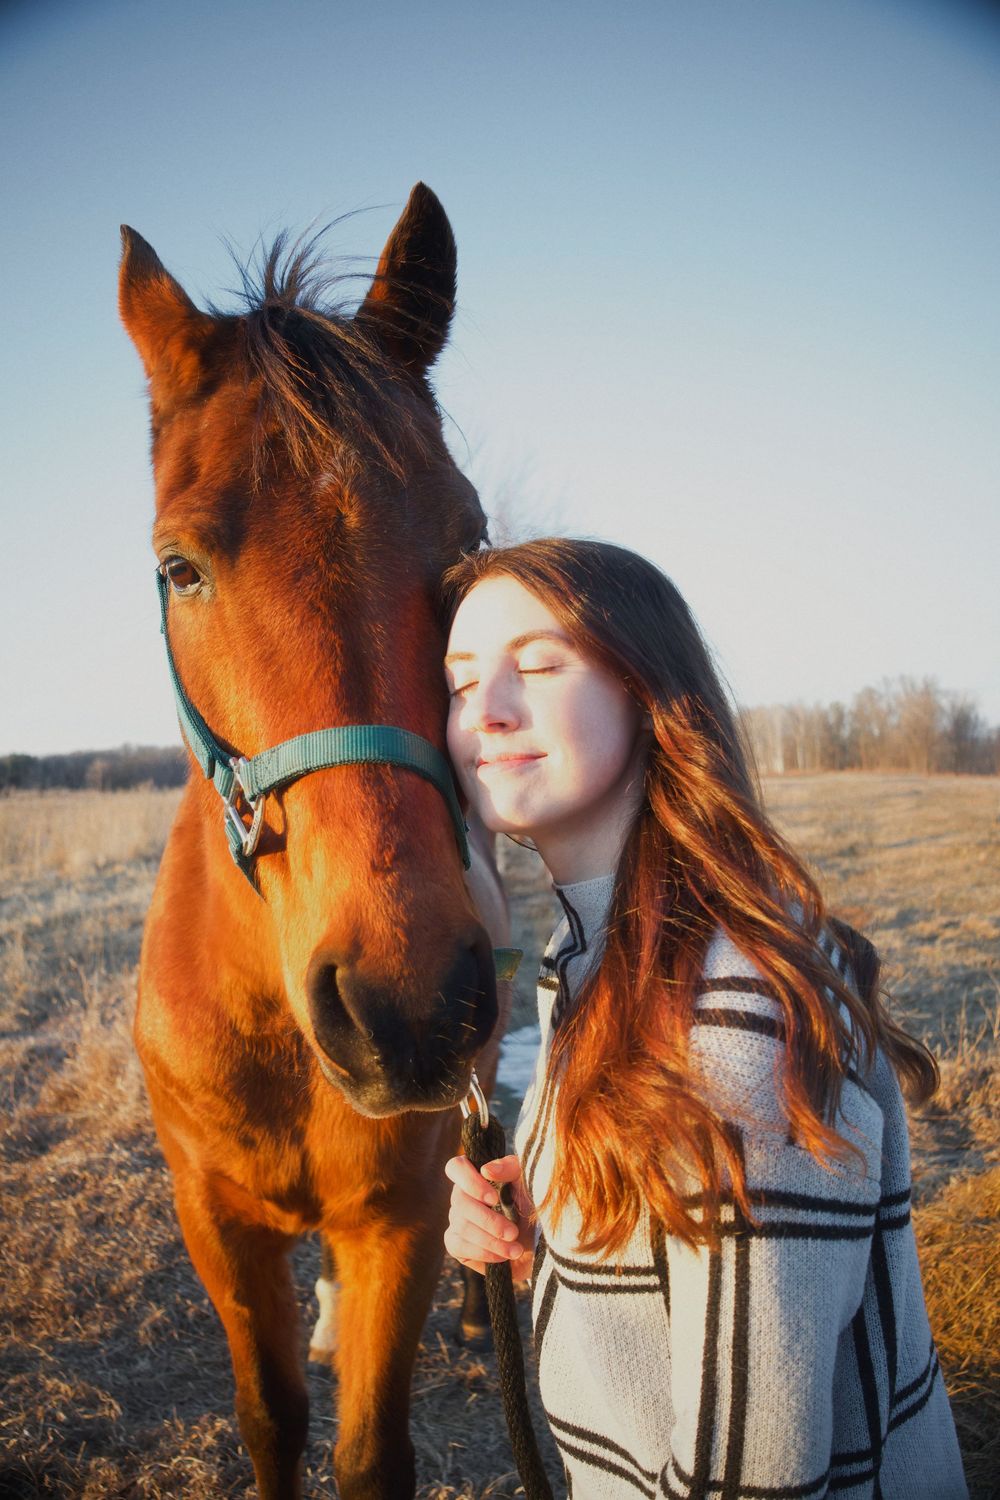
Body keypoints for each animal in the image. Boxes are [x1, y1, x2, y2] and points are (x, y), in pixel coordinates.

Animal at [119, 183, 511, 1499]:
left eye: (469, 538)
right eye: (178, 566)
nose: (405, 1002)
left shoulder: (399, 1219)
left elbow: (367, 1449)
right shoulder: (216, 1220)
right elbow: (274, 1416)